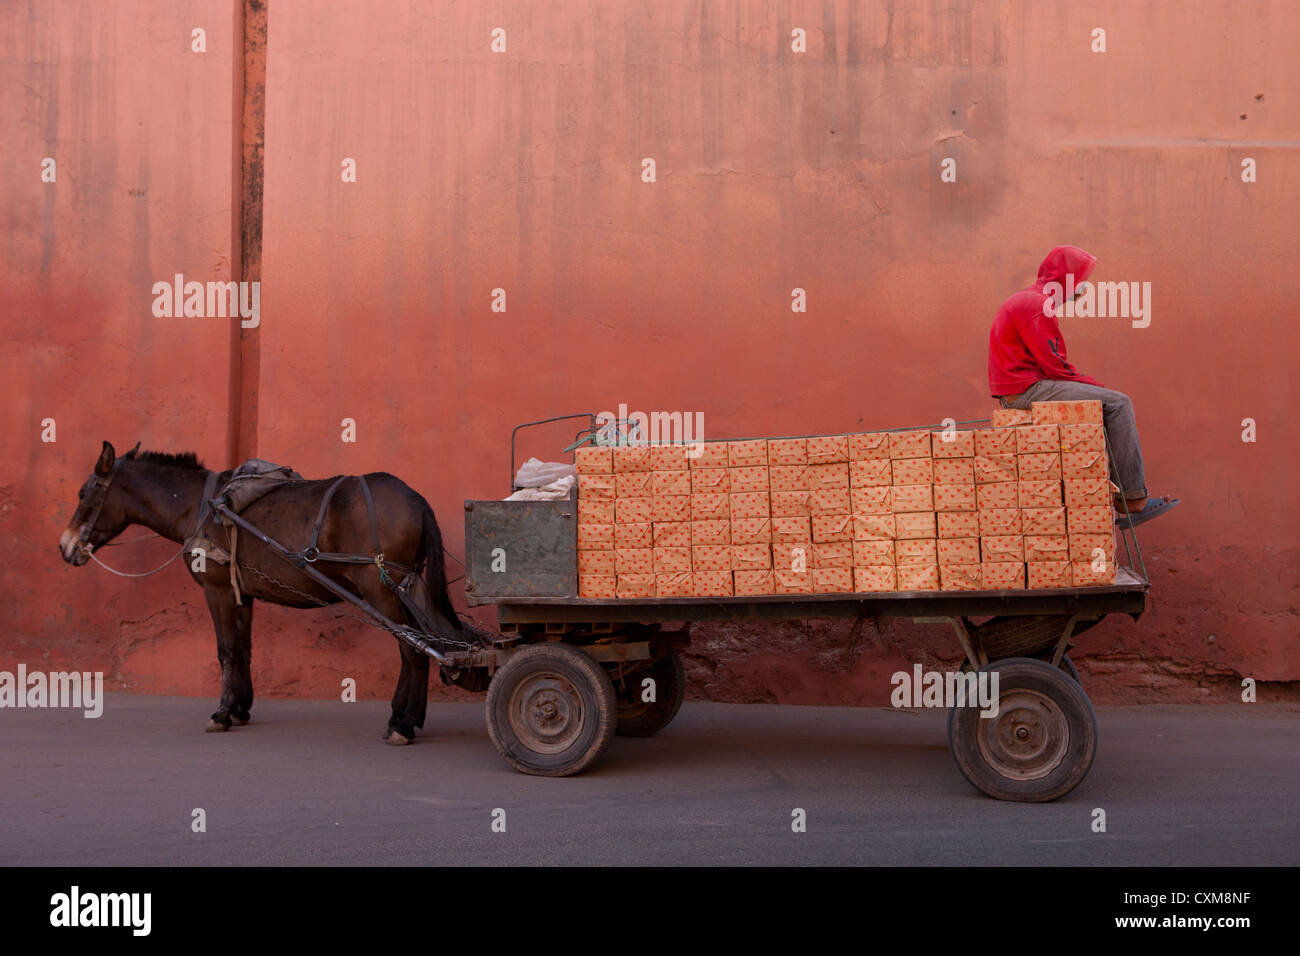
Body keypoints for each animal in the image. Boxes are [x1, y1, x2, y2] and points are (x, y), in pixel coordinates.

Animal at [58, 442, 473, 749]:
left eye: (84, 493)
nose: (65, 547)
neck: (200, 506)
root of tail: (415, 499)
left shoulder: (217, 590)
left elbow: (225, 651)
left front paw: (221, 714)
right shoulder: (242, 593)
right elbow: (243, 650)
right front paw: (240, 709)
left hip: (381, 588)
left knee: (412, 651)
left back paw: (401, 724)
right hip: (403, 586)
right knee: (422, 646)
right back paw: (409, 718)